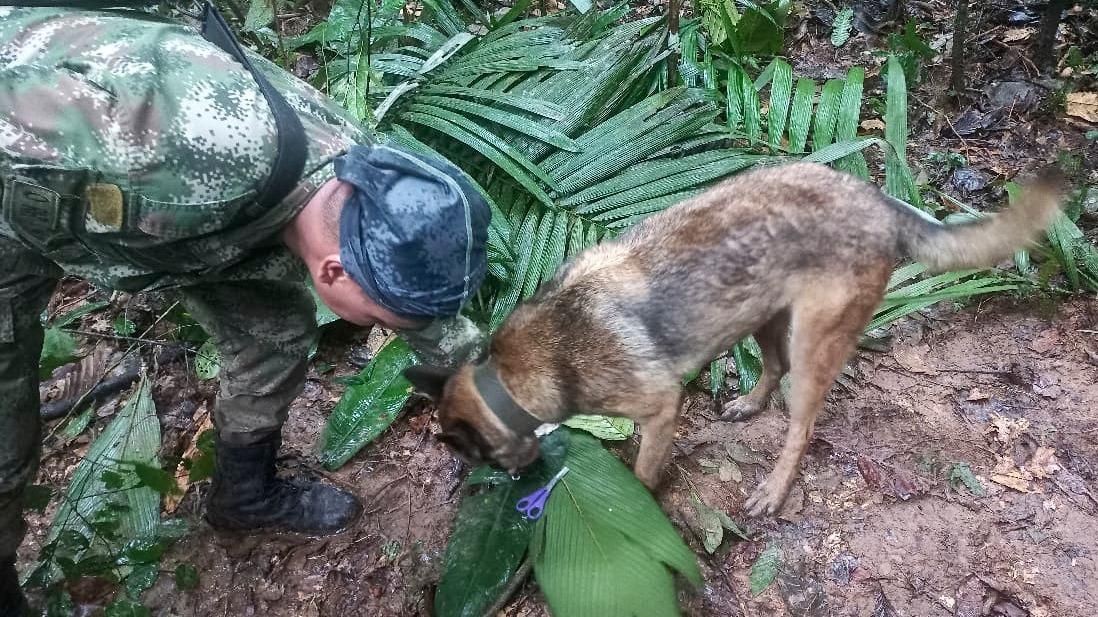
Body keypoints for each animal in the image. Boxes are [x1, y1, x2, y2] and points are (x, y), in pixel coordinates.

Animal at [404, 162, 1054, 513]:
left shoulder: (659, 409)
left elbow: (643, 472)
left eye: (473, 456)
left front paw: (640, 503)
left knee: (800, 425)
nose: (516, 483)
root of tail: (878, 200)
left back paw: (775, 488)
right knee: (772, 367)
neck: (512, 375)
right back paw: (748, 404)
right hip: (760, 313)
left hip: (813, 345)